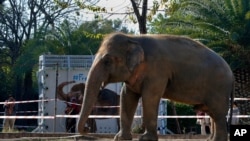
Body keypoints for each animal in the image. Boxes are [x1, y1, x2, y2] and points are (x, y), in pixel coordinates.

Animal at [77, 32, 234, 141]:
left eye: (107, 61)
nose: (87, 130)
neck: (134, 38)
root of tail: (231, 73)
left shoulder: (157, 71)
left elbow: (149, 97)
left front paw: (146, 139)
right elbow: (126, 96)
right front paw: (121, 138)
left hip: (218, 88)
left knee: (217, 113)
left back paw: (218, 140)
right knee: (212, 113)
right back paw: (210, 139)